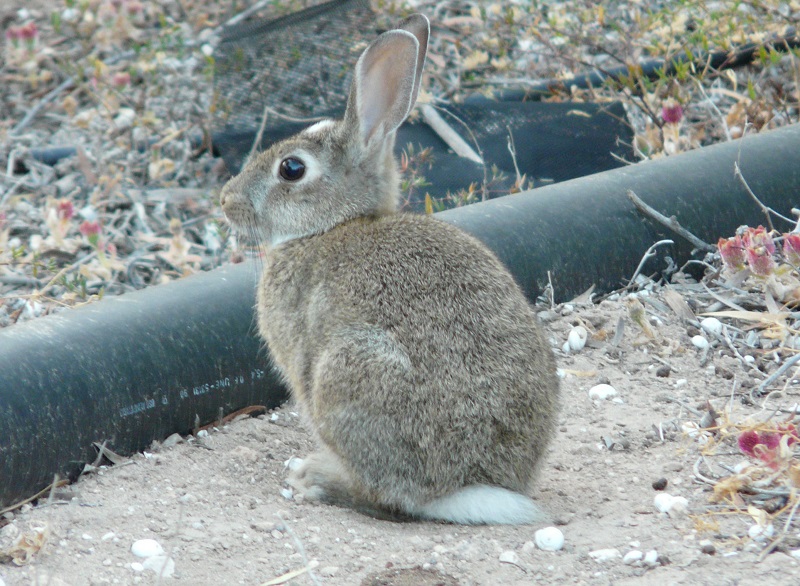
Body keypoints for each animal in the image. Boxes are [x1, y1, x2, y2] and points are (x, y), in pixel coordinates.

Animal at [216, 12, 560, 524]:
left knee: (384, 496)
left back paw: (313, 478)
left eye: (291, 169)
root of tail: (463, 485)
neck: (331, 226)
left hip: (344, 373)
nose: (226, 200)